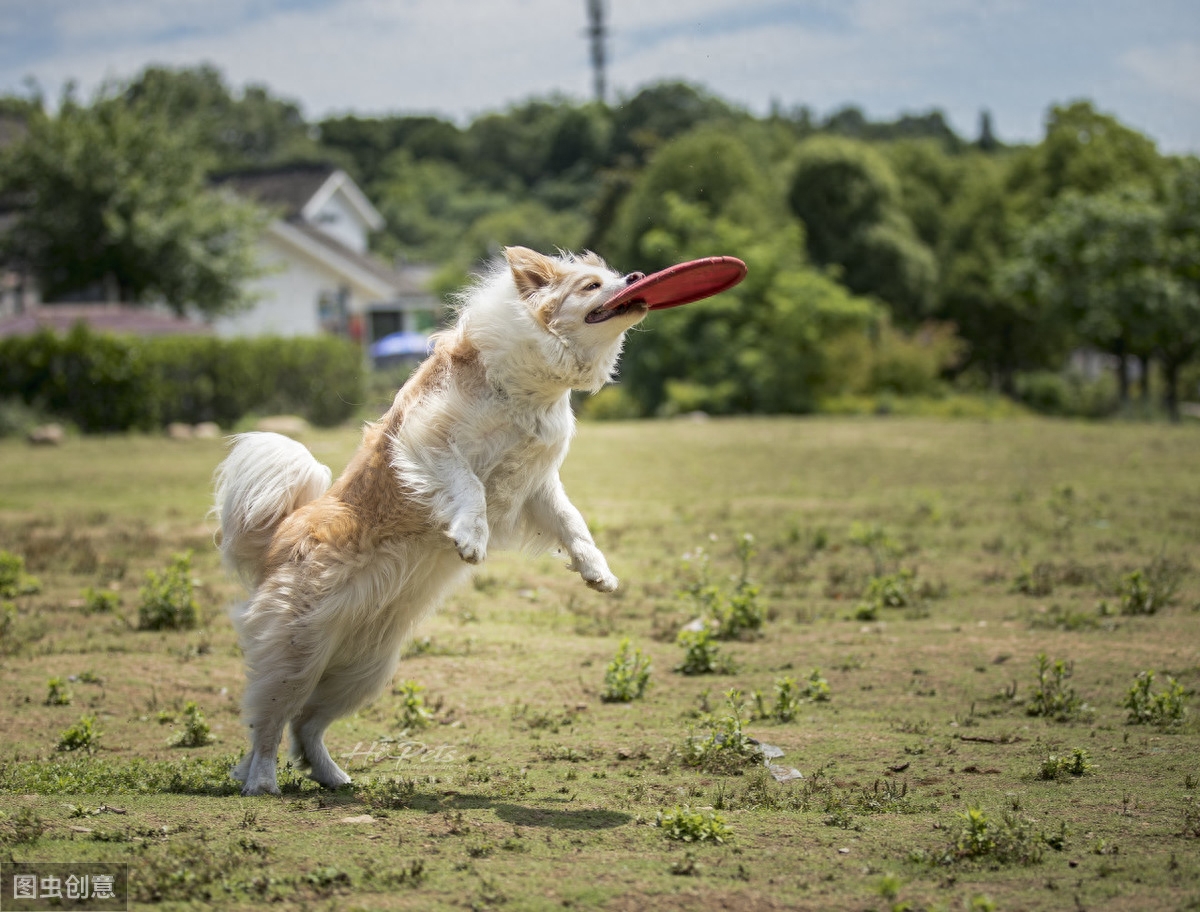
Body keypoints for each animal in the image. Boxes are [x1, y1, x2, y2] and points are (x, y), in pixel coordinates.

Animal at [216, 246, 648, 796]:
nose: (637, 276)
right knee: (267, 726)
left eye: (614, 274)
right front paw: (470, 539)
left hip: (365, 670)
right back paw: (261, 782)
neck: (533, 387)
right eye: (592, 285)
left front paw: (597, 572)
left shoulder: (539, 486)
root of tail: (279, 536)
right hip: (295, 655)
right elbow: (469, 489)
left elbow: (573, 524)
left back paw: (333, 777)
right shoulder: (430, 441)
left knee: (306, 725)